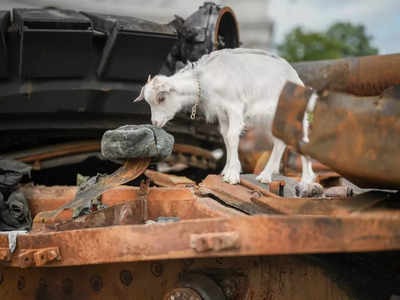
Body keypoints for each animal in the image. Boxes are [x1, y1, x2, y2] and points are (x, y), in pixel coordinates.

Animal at [136, 48, 320, 196]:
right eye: (148, 101)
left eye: (161, 98)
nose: (155, 122)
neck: (207, 80)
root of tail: (297, 79)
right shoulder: (222, 112)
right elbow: (225, 137)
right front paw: (226, 171)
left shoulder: (235, 107)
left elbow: (232, 136)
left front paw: (232, 176)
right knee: (280, 141)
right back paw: (269, 174)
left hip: (292, 114)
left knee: (301, 139)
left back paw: (303, 180)